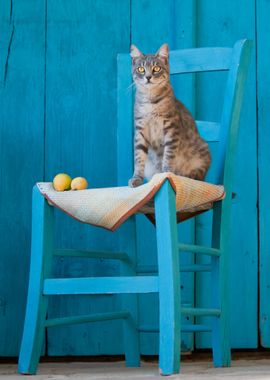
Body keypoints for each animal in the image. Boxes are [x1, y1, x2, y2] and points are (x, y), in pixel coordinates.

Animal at [128, 43, 211, 189]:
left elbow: (168, 154)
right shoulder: (140, 130)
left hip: (202, 154)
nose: (148, 77)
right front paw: (136, 178)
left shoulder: (171, 128)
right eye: (141, 69)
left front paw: (166, 173)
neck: (151, 101)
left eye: (156, 68)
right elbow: (138, 158)